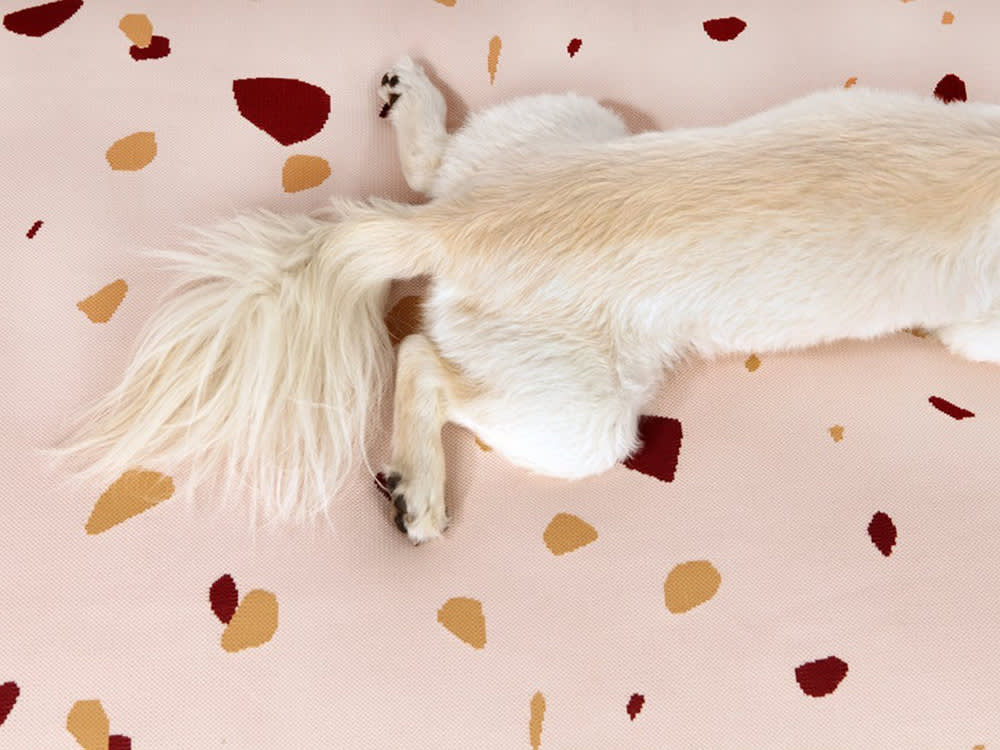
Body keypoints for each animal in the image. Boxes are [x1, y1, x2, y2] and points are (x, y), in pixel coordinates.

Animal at [52, 55, 1000, 544]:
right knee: (422, 361)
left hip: (564, 122)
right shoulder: (978, 323)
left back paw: (413, 99)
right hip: (583, 418)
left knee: (434, 166)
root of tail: (457, 224)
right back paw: (421, 491)